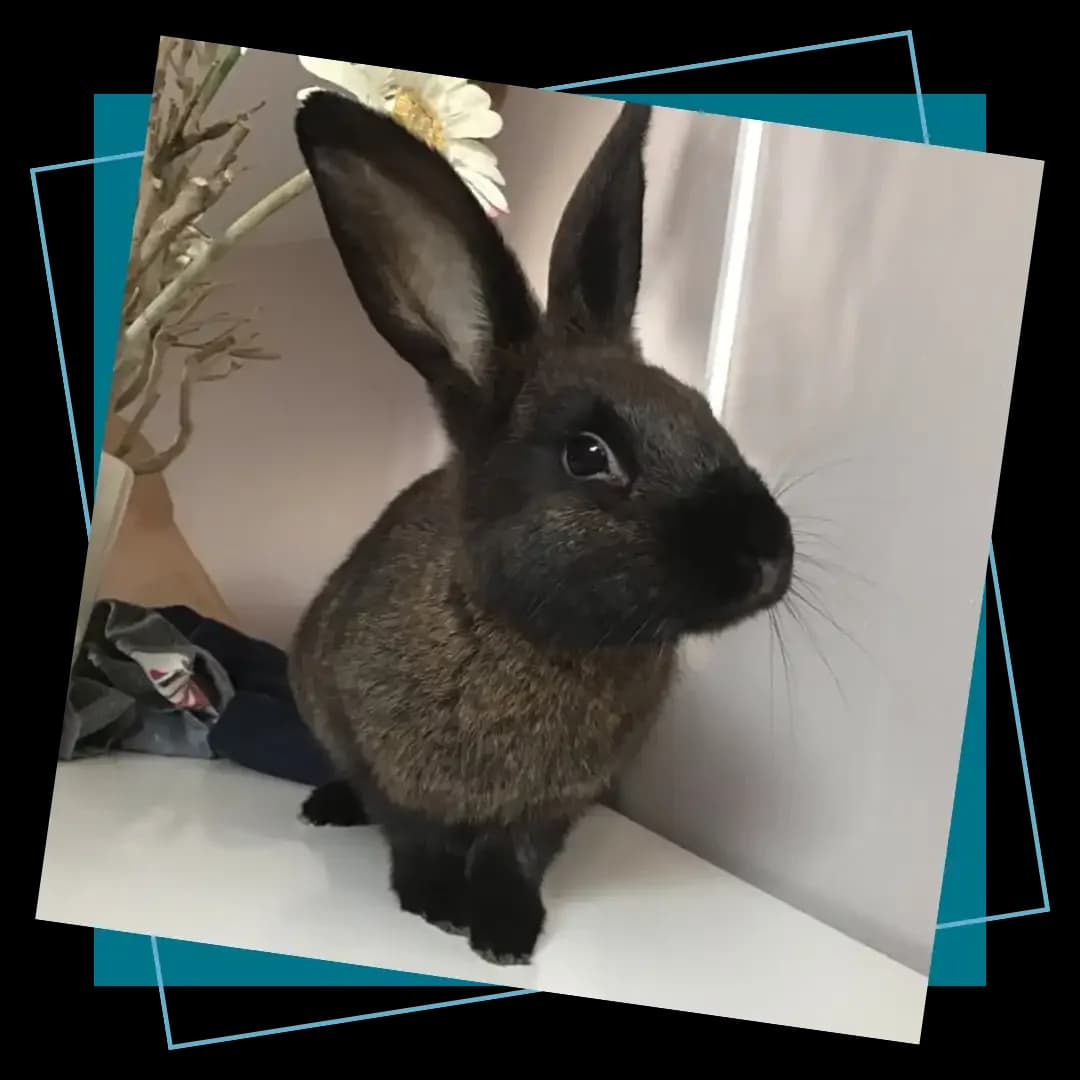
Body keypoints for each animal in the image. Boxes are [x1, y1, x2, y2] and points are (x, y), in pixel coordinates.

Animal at [288, 89, 795, 967]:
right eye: (588, 455)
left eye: (705, 415)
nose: (767, 558)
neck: (537, 636)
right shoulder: (374, 752)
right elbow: (411, 831)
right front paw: (434, 904)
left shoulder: (559, 803)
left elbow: (515, 855)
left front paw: (504, 935)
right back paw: (326, 807)